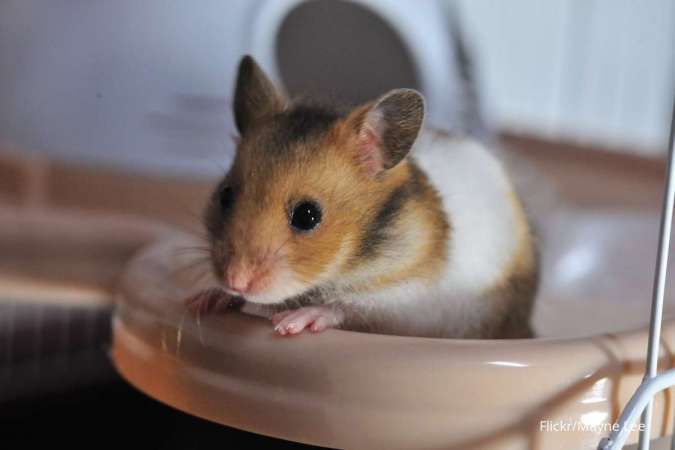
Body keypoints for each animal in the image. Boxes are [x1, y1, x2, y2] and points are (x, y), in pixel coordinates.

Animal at [191, 55, 538, 339]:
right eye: (225, 195)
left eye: (307, 215)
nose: (235, 280)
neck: (355, 259)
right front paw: (203, 301)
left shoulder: (407, 295)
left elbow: (347, 306)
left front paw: (292, 322)